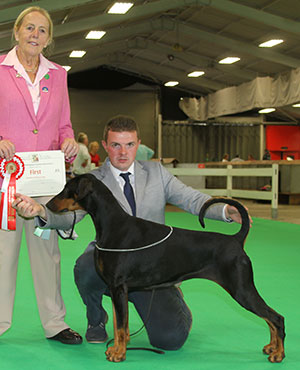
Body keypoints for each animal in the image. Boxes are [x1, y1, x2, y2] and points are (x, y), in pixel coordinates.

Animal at [45, 175, 284, 362]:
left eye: (67, 188)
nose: (47, 205)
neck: (113, 225)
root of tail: (236, 239)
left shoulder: (118, 286)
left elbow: (121, 325)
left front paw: (119, 354)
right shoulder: (116, 290)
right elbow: (120, 324)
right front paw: (117, 348)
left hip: (241, 288)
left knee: (276, 317)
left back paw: (278, 354)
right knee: (270, 318)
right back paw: (271, 347)